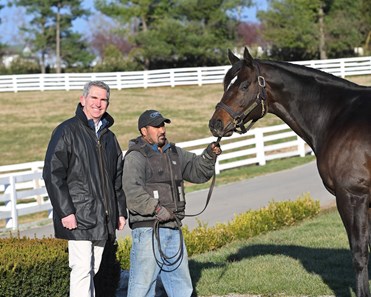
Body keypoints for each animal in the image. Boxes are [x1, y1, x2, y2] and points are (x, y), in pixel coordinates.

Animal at [211, 47, 371, 294]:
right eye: (227, 84)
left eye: (244, 85)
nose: (216, 124)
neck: (338, 116)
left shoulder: (353, 197)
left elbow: (360, 253)